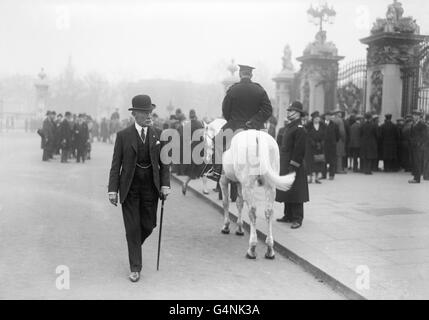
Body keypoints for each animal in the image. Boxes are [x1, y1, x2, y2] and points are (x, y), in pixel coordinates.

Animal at [204, 119, 294, 258]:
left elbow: (226, 203)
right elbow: (239, 203)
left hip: (248, 185)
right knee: (268, 212)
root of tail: (258, 137)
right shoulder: (239, 183)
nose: (206, 157)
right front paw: (240, 228)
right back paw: (270, 249)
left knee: (252, 211)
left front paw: (226, 226)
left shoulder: (224, 180)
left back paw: (252, 247)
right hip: (269, 186)